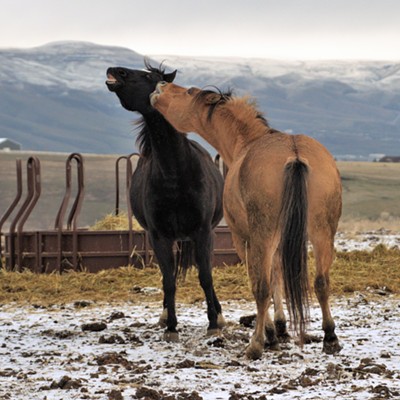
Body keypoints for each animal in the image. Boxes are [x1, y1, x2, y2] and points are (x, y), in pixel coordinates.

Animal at [105, 60, 225, 340]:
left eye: (149, 77)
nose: (115, 70)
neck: (175, 174)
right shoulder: (159, 236)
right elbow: (168, 280)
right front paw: (171, 326)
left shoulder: (203, 232)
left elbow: (205, 277)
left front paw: (213, 323)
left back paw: (219, 314)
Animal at [150, 82, 340, 360]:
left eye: (188, 92)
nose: (160, 86)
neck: (247, 142)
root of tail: (294, 154)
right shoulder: (279, 241)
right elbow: (276, 277)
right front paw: (280, 328)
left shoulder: (245, 239)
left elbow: (261, 285)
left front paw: (270, 334)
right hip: (322, 234)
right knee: (322, 283)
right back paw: (330, 338)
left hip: (263, 236)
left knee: (261, 289)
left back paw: (255, 345)